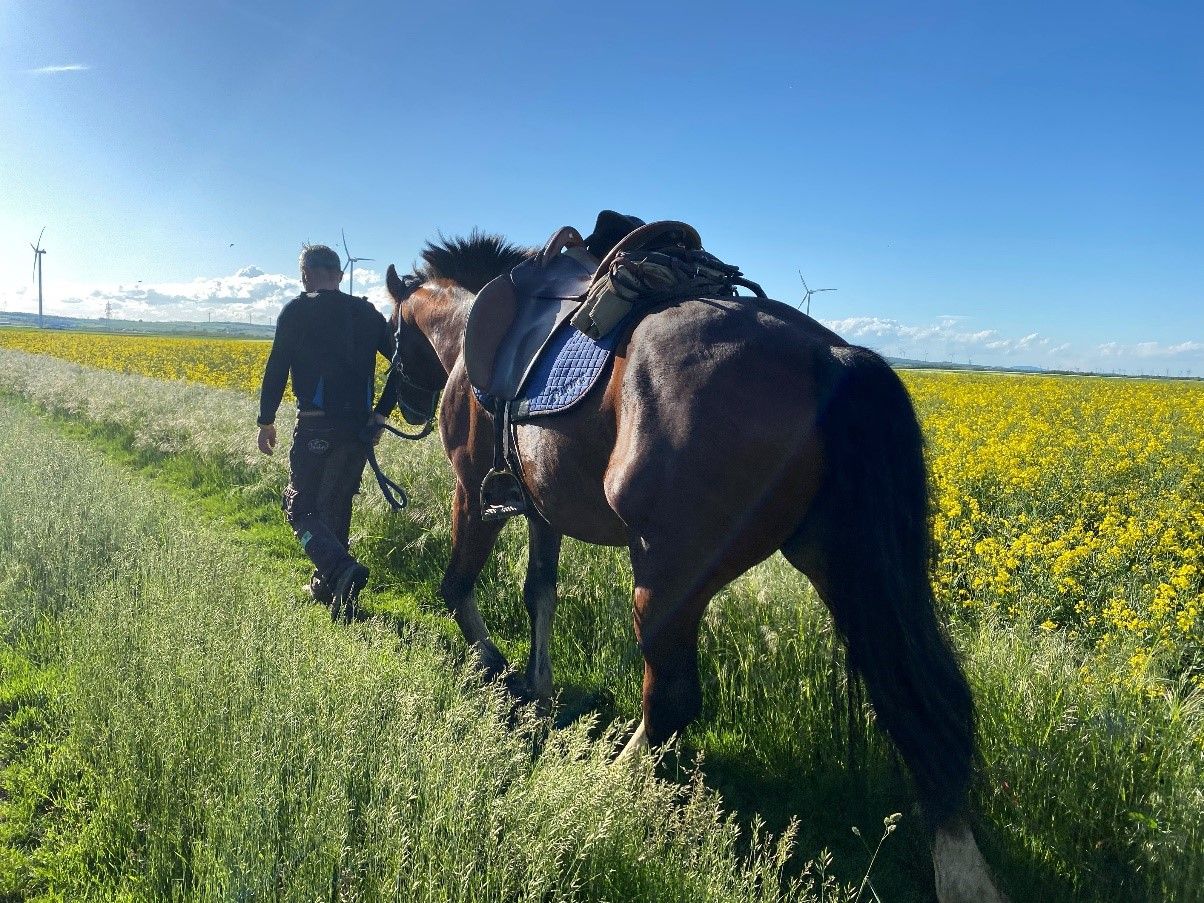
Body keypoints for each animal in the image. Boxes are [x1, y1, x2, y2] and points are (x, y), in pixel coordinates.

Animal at [383, 231, 1008, 903]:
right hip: (846, 567)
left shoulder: (474, 490)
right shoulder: (541, 507)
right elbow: (539, 594)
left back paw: (608, 784)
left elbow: (457, 585)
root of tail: (833, 357)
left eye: (391, 334)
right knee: (919, 706)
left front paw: (495, 667)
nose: (405, 403)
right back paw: (964, 868)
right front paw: (538, 686)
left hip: (666, 579)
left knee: (672, 701)